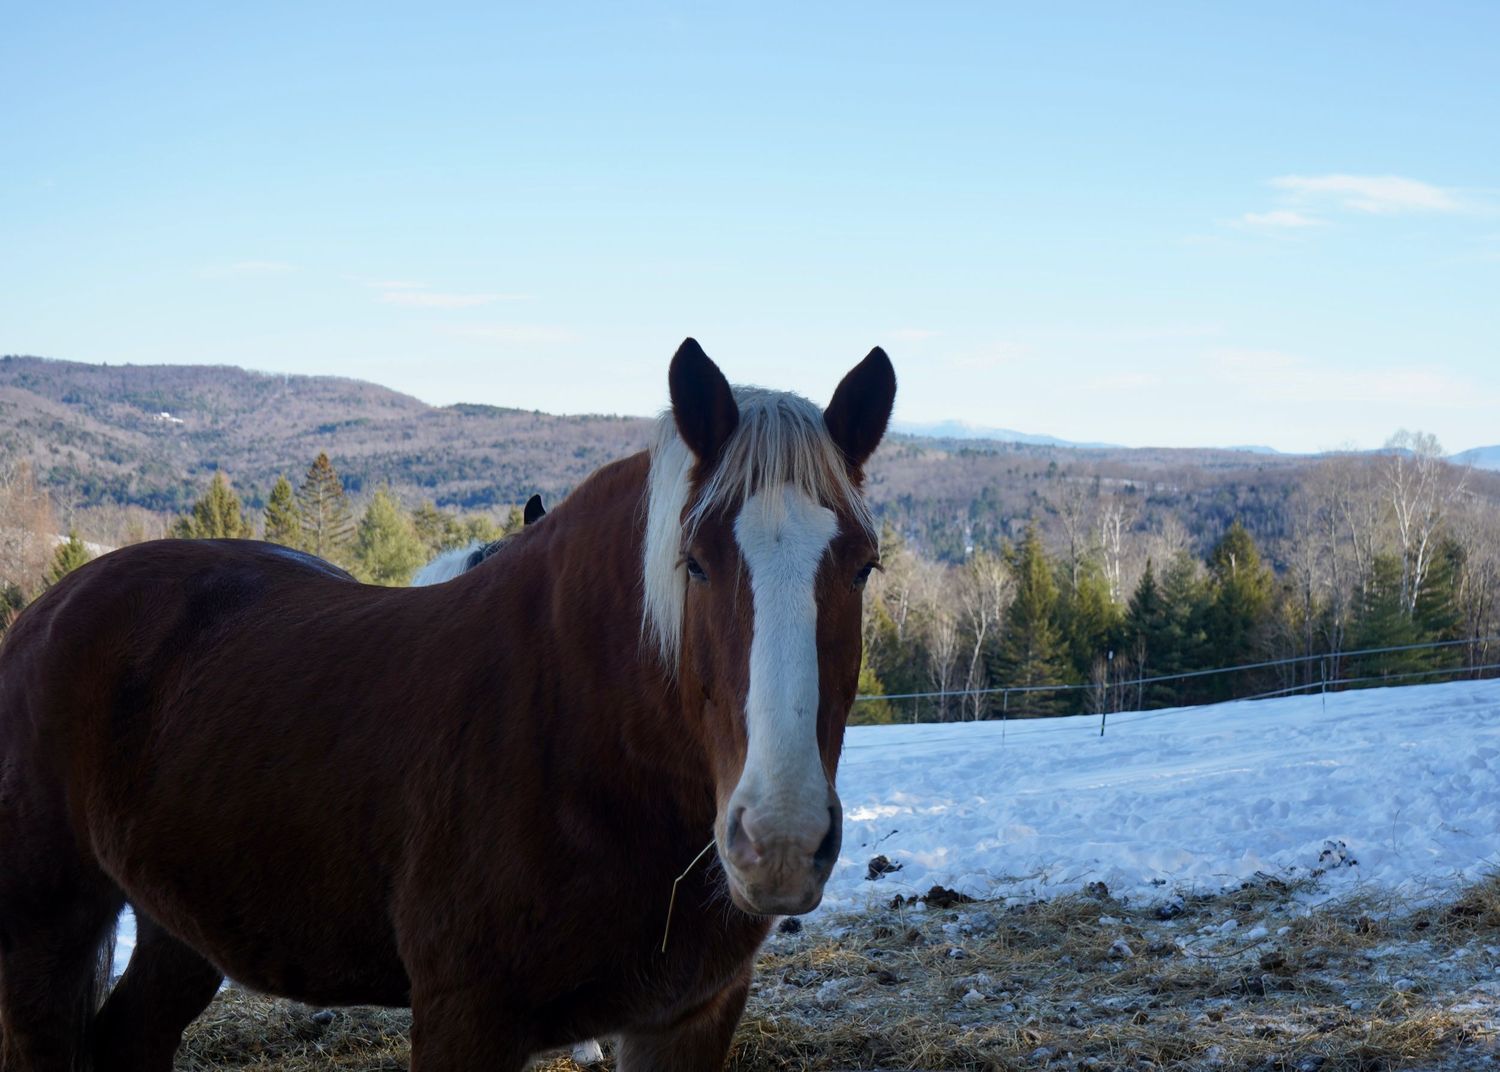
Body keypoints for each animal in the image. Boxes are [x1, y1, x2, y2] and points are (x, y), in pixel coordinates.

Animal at [0, 338, 895, 1071]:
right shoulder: (466, 1019)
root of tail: (47, 609)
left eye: (864, 567)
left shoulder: (688, 1018)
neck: (581, 736)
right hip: (47, 928)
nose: (779, 843)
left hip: (183, 922)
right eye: (696, 563)